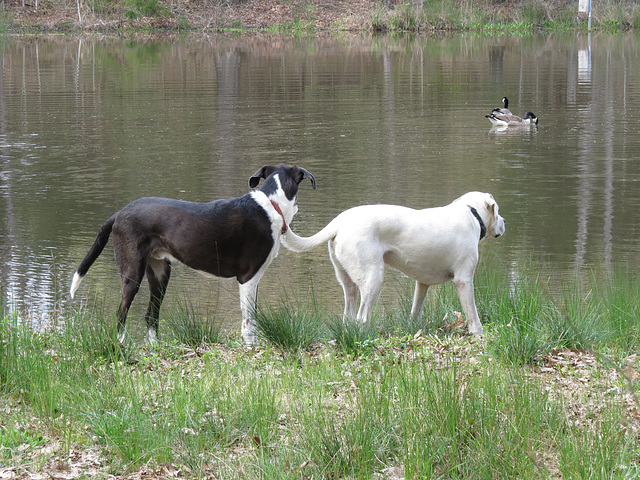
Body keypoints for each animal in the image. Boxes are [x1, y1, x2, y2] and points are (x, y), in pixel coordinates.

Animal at [69, 164, 316, 344]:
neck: (272, 203)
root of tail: (119, 213)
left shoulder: (254, 281)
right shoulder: (247, 278)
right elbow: (249, 322)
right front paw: (251, 348)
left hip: (160, 273)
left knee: (151, 315)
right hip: (132, 274)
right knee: (121, 314)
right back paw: (121, 345)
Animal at [282, 193, 502, 336]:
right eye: (498, 212)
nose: (504, 222)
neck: (472, 214)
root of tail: (339, 222)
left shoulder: (422, 284)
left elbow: (416, 310)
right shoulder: (463, 281)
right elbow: (472, 314)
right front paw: (478, 335)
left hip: (349, 284)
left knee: (349, 315)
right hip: (373, 278)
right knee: (362, 317)